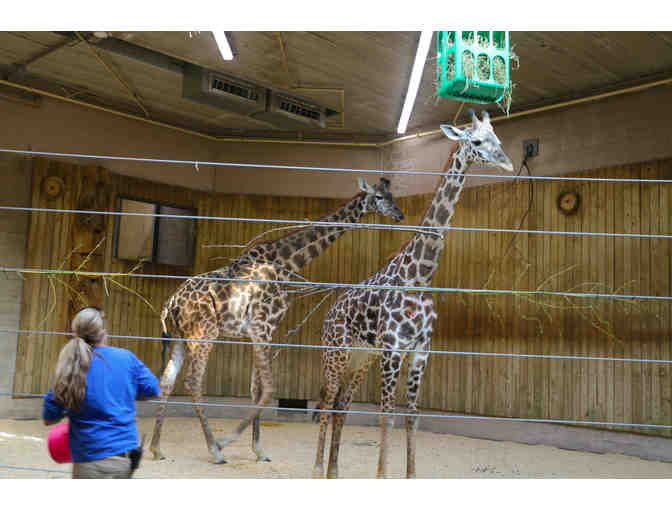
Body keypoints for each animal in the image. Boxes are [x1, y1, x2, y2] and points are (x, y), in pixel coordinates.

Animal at [150, 177, 404, 465]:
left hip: (180, 337)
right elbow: (268, 388)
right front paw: (239, 444)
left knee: (167, 380)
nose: (399, 215)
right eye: (380, 197)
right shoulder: (264, 327)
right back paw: (214, 450)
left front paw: (258, 449)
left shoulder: (255, 333)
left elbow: (255, 388)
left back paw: (156, 448)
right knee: (193, 381)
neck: (285, 262)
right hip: (204, 333)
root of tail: (171, 304)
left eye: (392, 195)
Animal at [312, 110, 514, 478]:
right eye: (476, 141)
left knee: (342, 404)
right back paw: (318, 467)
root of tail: (330, 313)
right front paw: (382, 475)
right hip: (336, 352)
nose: (506, 163)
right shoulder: (393, 350)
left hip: (362, 357)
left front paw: (411, 474)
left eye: (499, 139)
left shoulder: (420, 351)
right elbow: (386, 414)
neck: (420, 275)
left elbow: (412, 416)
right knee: (327, 400)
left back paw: (334, 470)